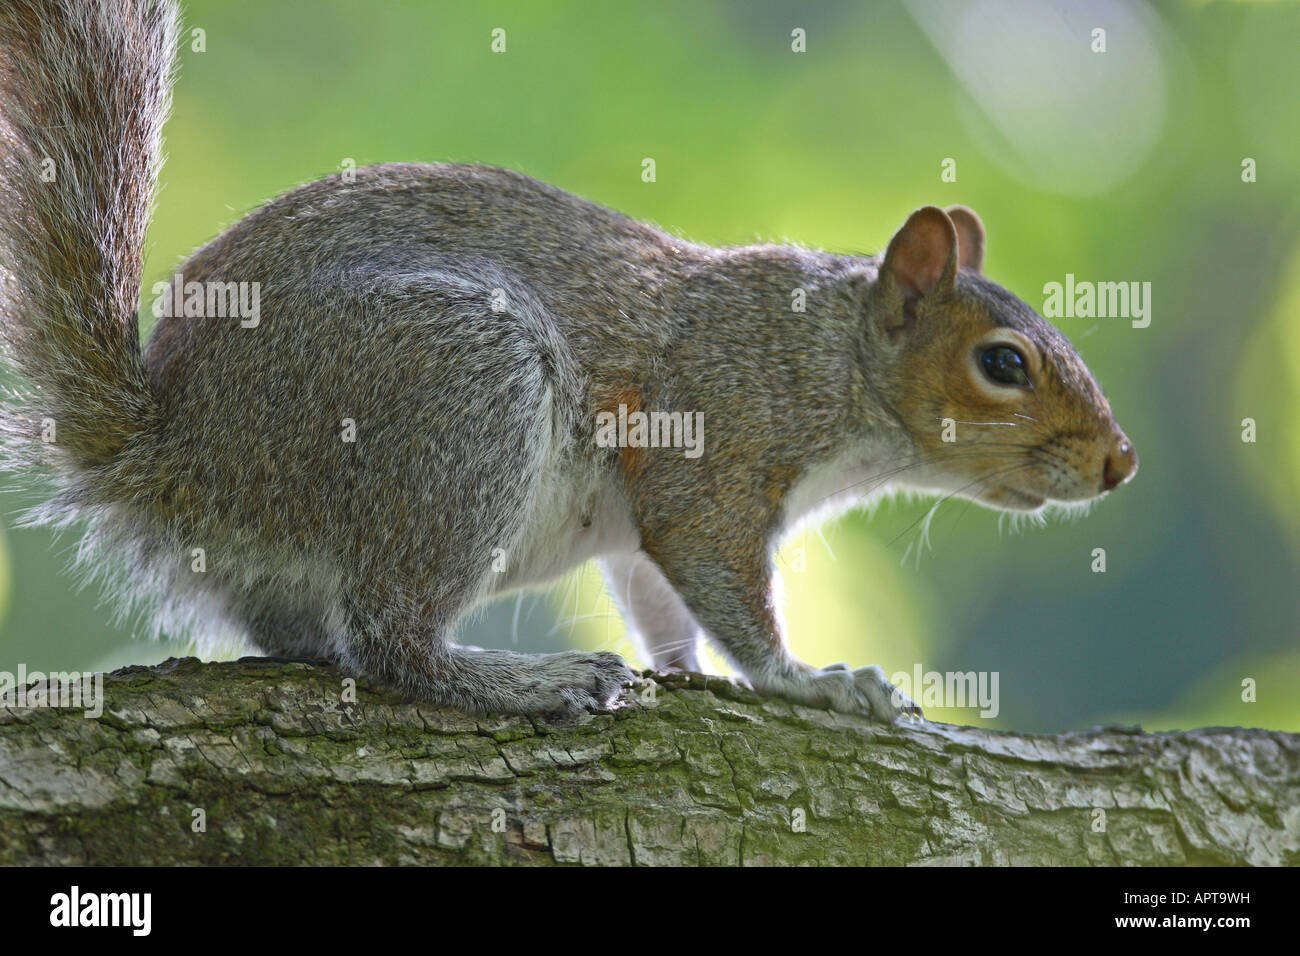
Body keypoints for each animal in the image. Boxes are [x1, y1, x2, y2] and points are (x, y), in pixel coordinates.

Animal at [0, 0, 1138, 717]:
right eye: (1004, 364)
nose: (1118, 463)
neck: (828, 354)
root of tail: (176, 453)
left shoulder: (640, 535)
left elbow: (660, 596)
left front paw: (695, 671)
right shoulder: (713, 440)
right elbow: (720, 575)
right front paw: (804, 678)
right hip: (459, 385)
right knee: (391, 643)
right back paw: (519, 682)